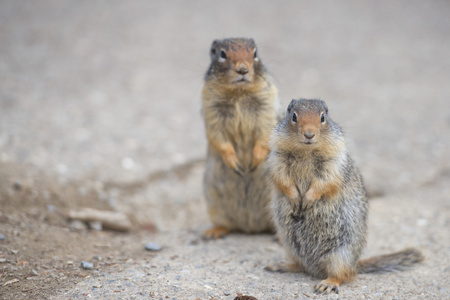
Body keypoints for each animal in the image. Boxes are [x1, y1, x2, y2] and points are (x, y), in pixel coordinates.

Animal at [201, 37, 280, 239]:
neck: (239, 92)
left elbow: (265, 132)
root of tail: (251, 229)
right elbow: (218, 137)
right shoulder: (211, 109)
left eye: (255, 53)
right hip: (214, 204)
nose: (243, 70)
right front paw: (235, 164)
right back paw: (213, 232)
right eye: (222, 54)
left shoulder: (266, 105)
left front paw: (254, 161)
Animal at [268, 98, 426, 292]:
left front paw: (308, 199)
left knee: (342, 276)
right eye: (293, 116)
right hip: (290, 246)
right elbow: (282, 179)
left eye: (323, 117)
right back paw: (281, 265)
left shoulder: (334, 164)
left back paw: (326, 284)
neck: (306, 151)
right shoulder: (277, 159)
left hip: (340, 254)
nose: (309, 135)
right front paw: (295, 198)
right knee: (302, 266)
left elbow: (324, 182)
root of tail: (355, 265)